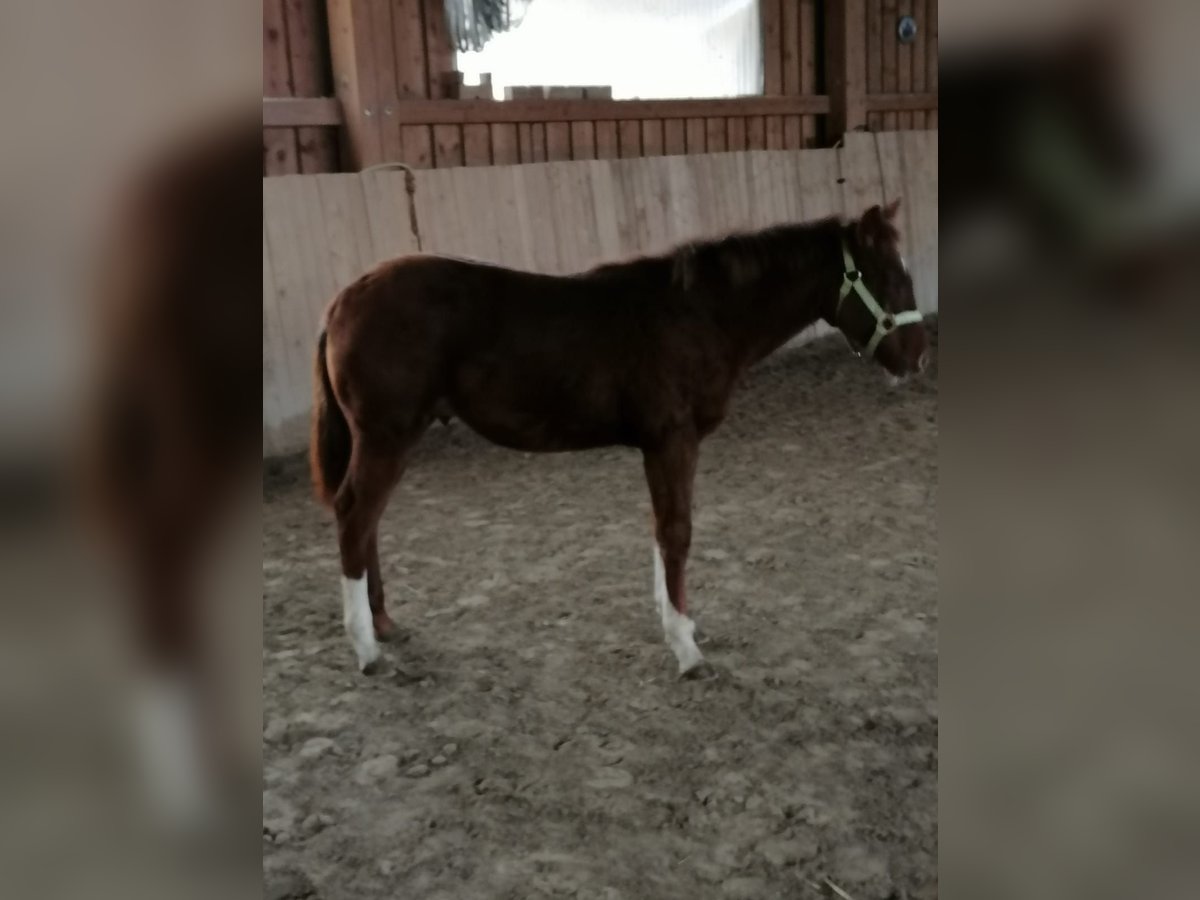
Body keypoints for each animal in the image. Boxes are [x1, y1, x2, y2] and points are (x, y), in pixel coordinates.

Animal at [309, 196, 926, 676]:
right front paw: (686, 649)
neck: (699, 314)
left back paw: (384, 624)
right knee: (355, 516)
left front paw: (678, 625)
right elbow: (677, 533)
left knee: (367, 522)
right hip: (386, 436)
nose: (916, 359)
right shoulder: (673, 440)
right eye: (890, 277)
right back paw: (367, 649)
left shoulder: (661, 446)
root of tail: (343, 299)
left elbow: (662, 529)